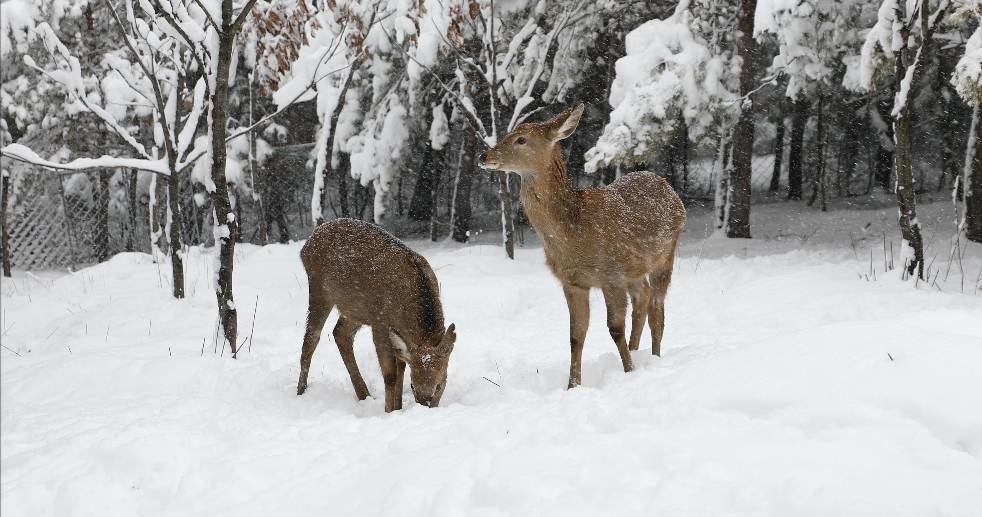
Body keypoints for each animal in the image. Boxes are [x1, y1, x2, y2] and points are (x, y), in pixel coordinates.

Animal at [296, 218, 458, 412]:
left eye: (439, 386)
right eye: (412, 386)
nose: (424, 407)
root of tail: (306, 246)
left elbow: (401, 366)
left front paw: (398, 407)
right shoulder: (380, 321)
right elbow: (390, 374)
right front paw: (389, 410)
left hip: (355, 308)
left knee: (340, 333)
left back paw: (363, 394)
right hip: (320, 290)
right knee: (311, 338)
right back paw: (301, 391)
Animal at [480, 104, 688, 388]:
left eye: (521, 139)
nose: (484, 154)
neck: (575, 234)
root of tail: (670, 189)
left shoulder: (611, 274)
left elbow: (614, 328)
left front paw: (628, 372)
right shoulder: (573, 282)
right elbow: (575, 335)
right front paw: (572, 385)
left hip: (665, 254)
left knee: (657, 308)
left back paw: (654, 357)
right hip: (634, 269)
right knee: (642, 299)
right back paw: (636, 350)